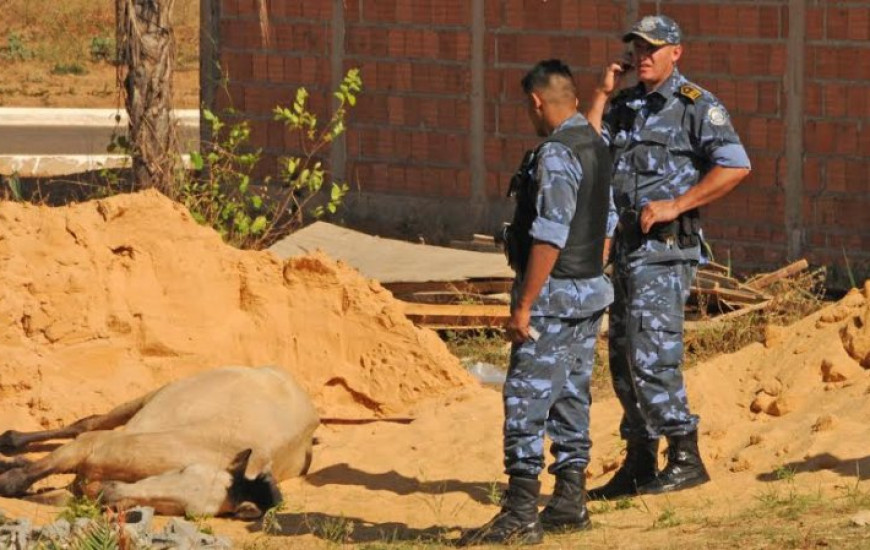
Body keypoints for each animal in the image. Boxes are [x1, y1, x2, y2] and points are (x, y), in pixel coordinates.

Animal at [0, 368, 318, 520]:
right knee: (87, 423)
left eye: (184, 509)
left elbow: (39, 494)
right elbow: (18, 481)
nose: (109, 492)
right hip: (151, 396)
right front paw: (12, 472)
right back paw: (10, 441)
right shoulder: (88, 447)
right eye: (183, 471)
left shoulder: (76, 489)